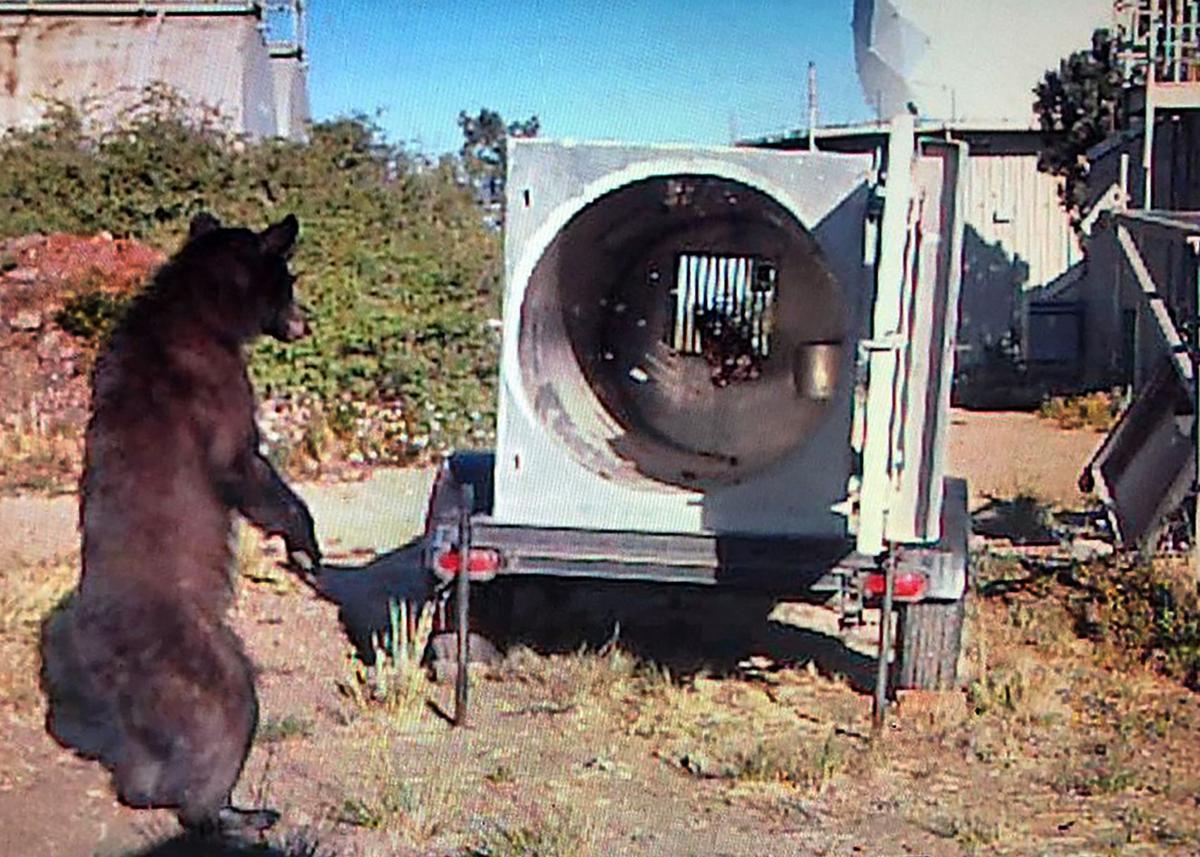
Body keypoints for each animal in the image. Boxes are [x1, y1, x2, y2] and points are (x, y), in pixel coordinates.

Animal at [39, 212, 322, 840]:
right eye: (289, 281)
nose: (306, 321)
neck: (198, 310)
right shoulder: (216, 387)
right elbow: (241, 467)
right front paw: (304, 540)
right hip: (195, 660)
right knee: (229, 713)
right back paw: (233, 813)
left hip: (144, 700)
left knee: (147, 753)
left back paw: (147, 791)